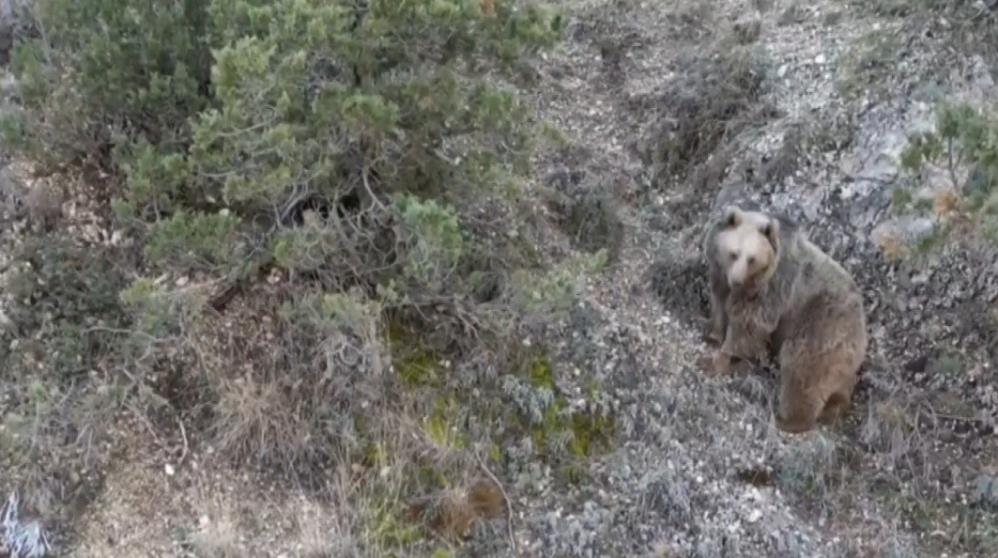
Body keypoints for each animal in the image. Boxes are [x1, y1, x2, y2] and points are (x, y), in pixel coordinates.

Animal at [701, 204, 868, 433]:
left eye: (752, 259)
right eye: (734, 253)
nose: (736, 280)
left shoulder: (770, 289)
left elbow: (748, 324)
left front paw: (717, 360)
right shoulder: (721, 275)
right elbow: (719, 302)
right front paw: (713, 334)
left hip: (821, 326)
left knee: (802, 368)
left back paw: (786, 419)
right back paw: (832, 409)